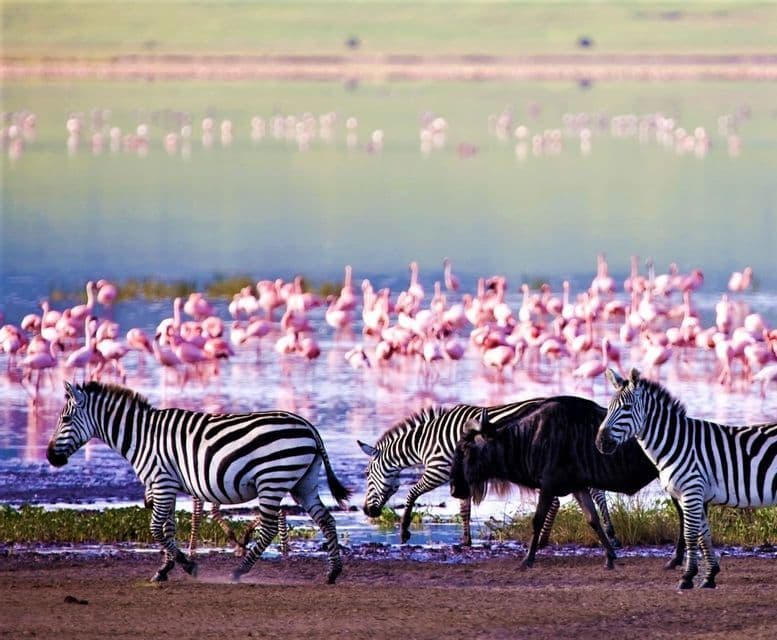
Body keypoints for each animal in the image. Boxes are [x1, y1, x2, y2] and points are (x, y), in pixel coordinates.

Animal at [46, 381, 350, 584]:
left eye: (65, 419)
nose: (50, 456)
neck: (141, 436)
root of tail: (308, 426)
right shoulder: (166, 485)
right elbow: (168, 528)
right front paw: (164, 569)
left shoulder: (161, 482)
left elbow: (156, 528)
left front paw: (187, 565)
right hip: (303, 483)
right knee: (326, 520)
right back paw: (333, 572)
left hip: (272, 480)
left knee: (269, 528)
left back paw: (239, 571)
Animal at [359, 399, 620, 547]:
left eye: (367, 475)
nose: (367, 511)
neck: (426, 441)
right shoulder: (460, 475)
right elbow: (464, 509)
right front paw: (465, 541)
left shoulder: (438, 470)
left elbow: (412, 494)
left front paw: (404, 532)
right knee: (591, 493)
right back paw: (608, 533)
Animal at [596, 367, 777, 589]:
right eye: (608, 408)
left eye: (627, 408)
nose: (600, 442)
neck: (675, 442)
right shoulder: (690, 495)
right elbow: (703, 536)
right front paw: (709, 576)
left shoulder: (692, 490)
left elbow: (690, 535)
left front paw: (687, 577)